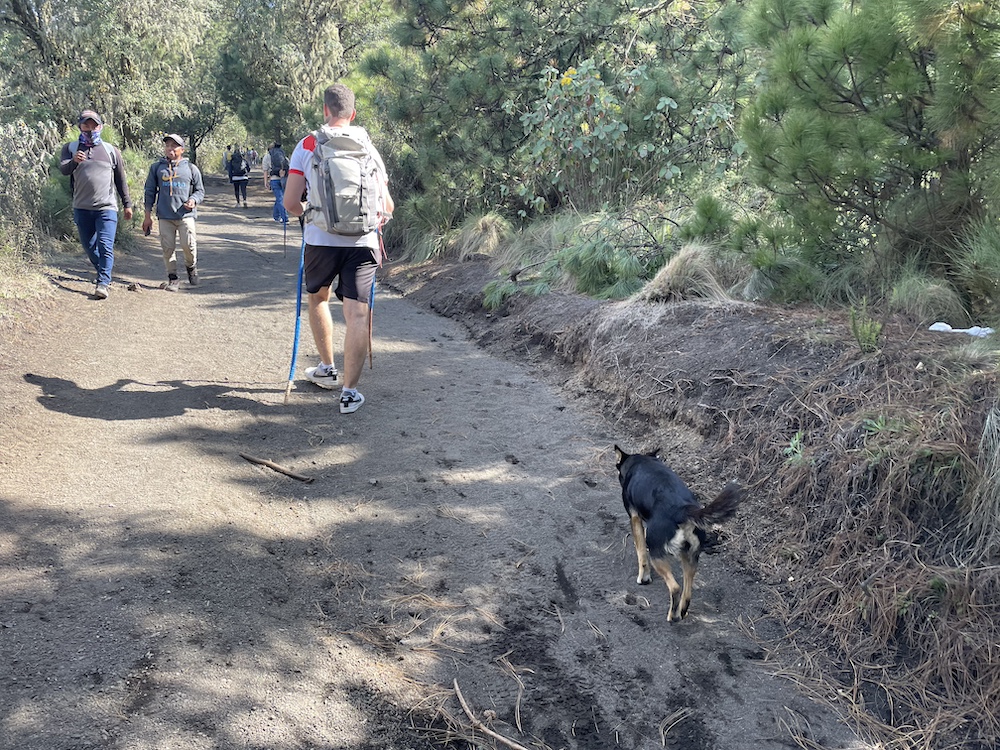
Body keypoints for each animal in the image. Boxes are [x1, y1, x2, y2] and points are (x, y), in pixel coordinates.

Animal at [612, 446, 740, 624]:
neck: (641, 462)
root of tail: (682, 509)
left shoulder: (635, 518)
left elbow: (641, 553)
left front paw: (643, 579)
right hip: (690, 558)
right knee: (687, 592)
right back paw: (681, 612)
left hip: (657, 553)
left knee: (675, 588)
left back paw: (672, 616)